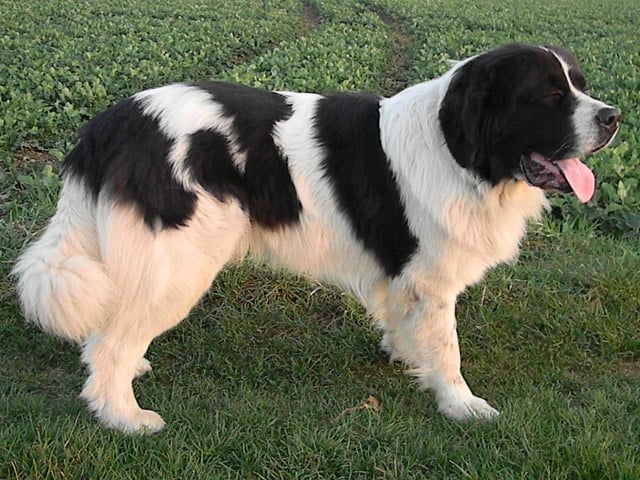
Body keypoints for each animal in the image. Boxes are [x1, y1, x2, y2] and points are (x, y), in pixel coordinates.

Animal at [13, 43, 620, 434]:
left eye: (581, 86)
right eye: (549, 95)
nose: (613, 116)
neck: (460, 151)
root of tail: (112, 120)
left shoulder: (405, 279)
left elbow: (407, 326)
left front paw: (407, 360)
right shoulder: (431, 280)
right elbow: (448, 349)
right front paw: (461, 405)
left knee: (112, 329)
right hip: (179, 261)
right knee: (112, 341)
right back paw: (123, 416)